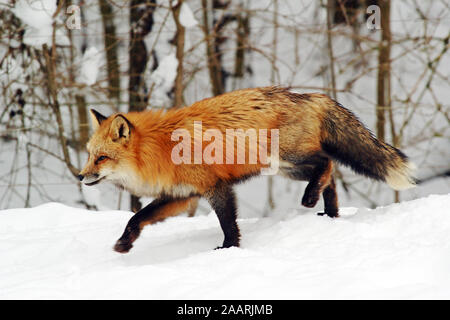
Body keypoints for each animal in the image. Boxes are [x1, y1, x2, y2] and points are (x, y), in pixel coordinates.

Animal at [80, 86, 414, 254]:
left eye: (102, 158)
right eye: (89, 155)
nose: (81, 176)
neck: (160, 148)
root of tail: (311, 96)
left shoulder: (215, 187)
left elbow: (228, 223)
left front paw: (229, 249)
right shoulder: (181, 196)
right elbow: (137, 218)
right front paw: (124, 243)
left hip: (288, 157)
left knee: (327, 163)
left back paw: (311, 199)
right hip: (285, 168)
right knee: (329, 178)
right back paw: (329, 213)